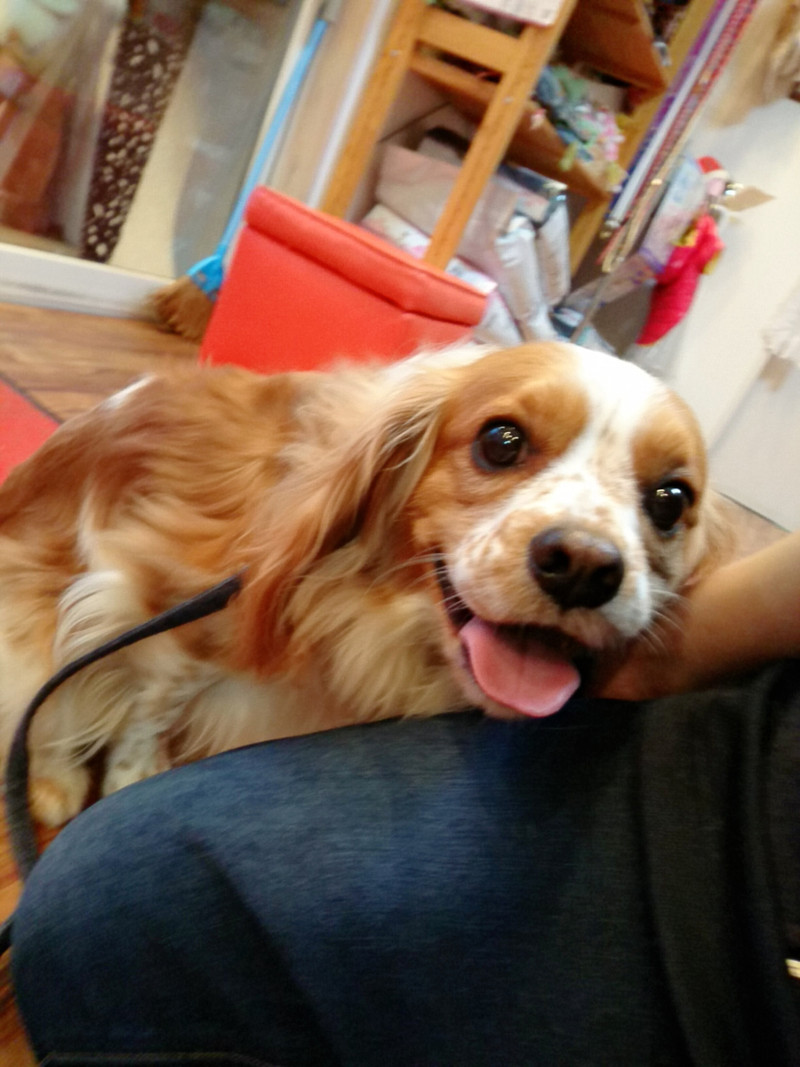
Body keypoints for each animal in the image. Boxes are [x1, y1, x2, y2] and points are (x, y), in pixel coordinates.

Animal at [0, 341, 725, 826]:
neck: (382, 613)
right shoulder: (170, 596)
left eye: (669, 500)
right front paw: (126, 781)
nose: (581, 565)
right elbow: (148, 706)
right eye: (501, 441)